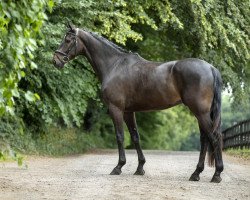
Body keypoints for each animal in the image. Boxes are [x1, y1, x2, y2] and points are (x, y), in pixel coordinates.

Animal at [52, 23, 223, 183]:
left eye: (68, 40)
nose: (55, 61)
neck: (114, 65)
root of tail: (211, 68)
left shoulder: (116, 109)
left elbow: (120, 136)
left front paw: (118, 167)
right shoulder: (129, 111)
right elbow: (135, 137)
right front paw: (140, 168)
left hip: (200, 112)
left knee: (214, 137)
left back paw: (216, 174)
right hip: (201, 113)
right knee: (205, 139)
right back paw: (196, 173)